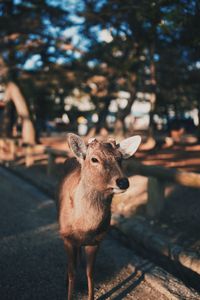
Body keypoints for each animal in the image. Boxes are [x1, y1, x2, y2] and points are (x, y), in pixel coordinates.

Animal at [57, 134, 142, 300]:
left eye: (120, 158)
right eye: (94, 159)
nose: (123, 181)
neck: (85, 227)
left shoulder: (97, 240)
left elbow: (90, 273)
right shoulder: (67, 237)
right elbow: (72, 272)